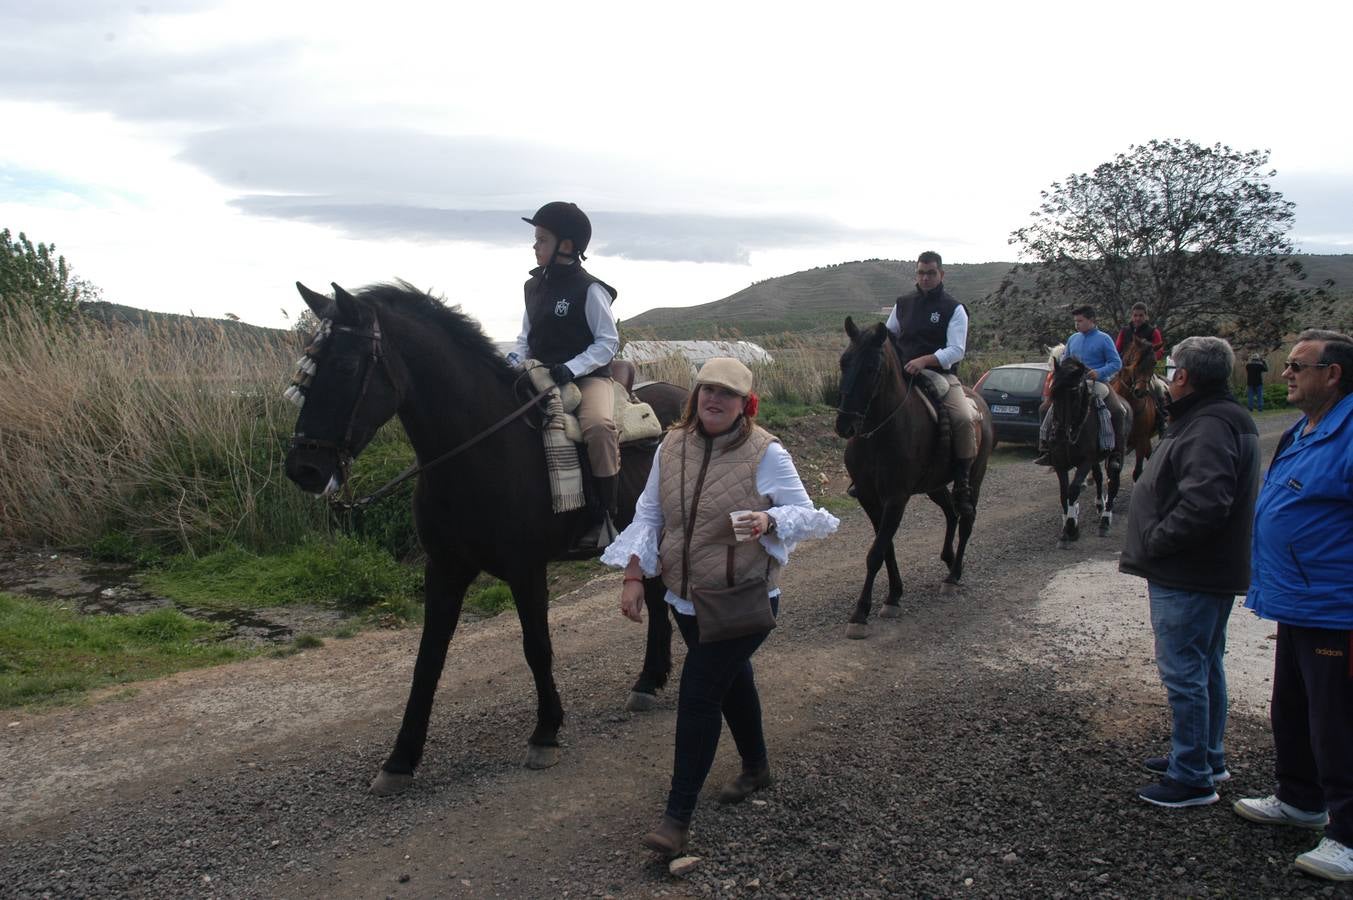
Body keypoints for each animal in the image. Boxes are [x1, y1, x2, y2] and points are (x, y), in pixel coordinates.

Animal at [286, 281, 687, 795]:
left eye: (346, 366)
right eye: (308, 369)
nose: (305, 468)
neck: (480, 448)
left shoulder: (525, 569)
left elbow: (537, 647)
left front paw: (545, 733)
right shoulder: (444, 569)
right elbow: (427, 659)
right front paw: (400, 759)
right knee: (655, 600)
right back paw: (647, 682)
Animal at [833, 315, 995, 638]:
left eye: (872, 369)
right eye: (844, 362)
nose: (845, 425)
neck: (878, 434)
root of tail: (979, 403)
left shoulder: (896, 499)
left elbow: (876, 552)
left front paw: (860, 613)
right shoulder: (870, 498)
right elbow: (886, 548)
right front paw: (894, 595)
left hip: (975, 477)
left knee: (966, 518)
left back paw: (953, 575)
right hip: (934, 486)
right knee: (951, 513)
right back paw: (948, 559)